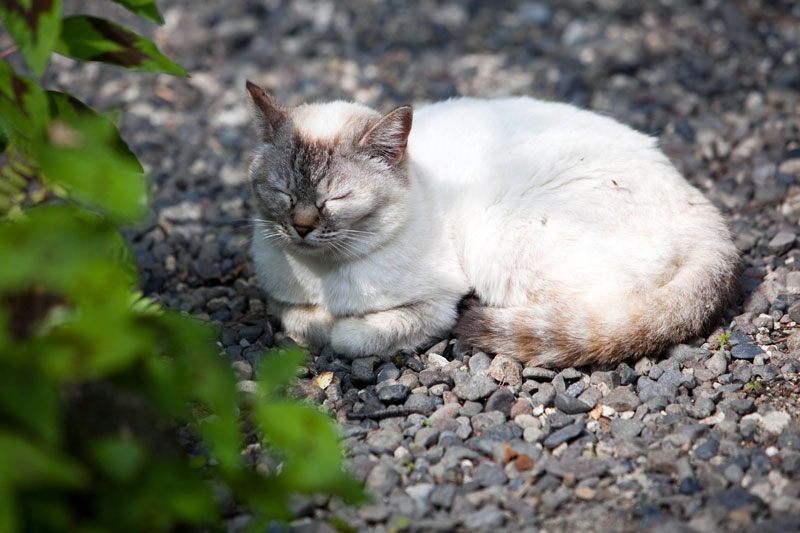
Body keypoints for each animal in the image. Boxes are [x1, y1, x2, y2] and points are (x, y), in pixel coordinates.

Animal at [244, 81, 736, 368]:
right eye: (283, 192)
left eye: (335, 199)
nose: (301, 227)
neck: (324, 276)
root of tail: (699, 204)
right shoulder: (277, 294)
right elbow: (296, 319)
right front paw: (318, 322)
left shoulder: (435, 303)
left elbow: (350, 335)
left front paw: (339, 329)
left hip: (499, 237)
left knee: (600, 321)